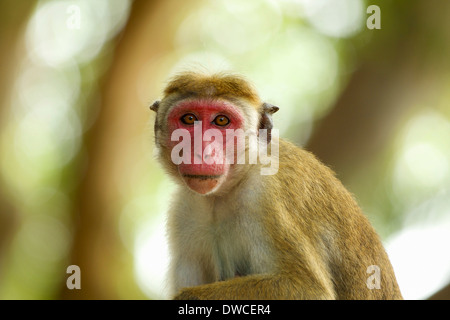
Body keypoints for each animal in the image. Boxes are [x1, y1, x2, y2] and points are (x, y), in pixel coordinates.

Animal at [149, 71, 402, 298]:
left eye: (221, 121)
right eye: (189, 119)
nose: (201, 150)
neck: (224, 193)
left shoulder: (267, 195)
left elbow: (310, 290)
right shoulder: (183, 212)